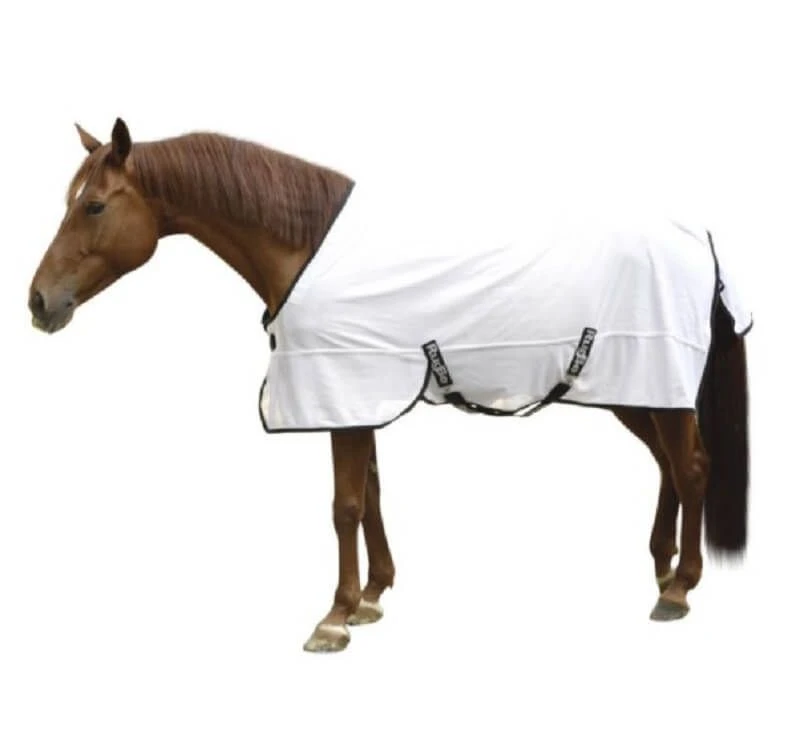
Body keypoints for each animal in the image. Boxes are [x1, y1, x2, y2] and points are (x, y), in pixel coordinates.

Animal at [28, 118, 751, 653]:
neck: (303, 248)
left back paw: (678, 590)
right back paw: (662, 567)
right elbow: (371, 493)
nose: (38, 302)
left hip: (654, 386)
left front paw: (334, 617)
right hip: (636, 390)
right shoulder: (360, 395)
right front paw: (372, 598)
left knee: (690, 467)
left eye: (94, 205)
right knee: (669, 466)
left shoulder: (343, 394)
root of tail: (701, 240)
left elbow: (345, 505)